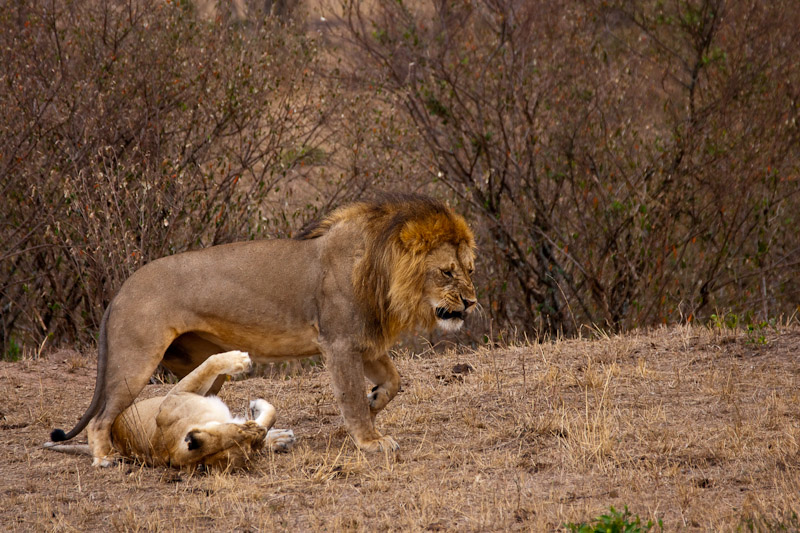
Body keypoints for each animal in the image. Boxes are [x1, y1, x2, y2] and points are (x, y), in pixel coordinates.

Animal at [44, 352, 294, 468]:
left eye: (251, 440)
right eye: (243, 431)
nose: (258, 434)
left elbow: (270, 415)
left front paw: (269, 427)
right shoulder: (178, 393)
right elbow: (210, 362)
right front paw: (241, 360)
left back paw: (281, 438)